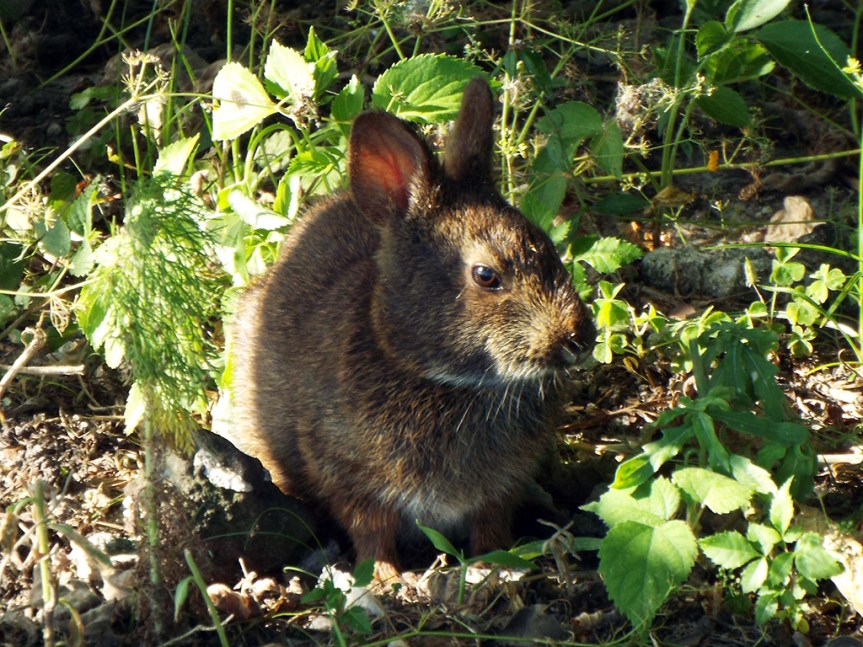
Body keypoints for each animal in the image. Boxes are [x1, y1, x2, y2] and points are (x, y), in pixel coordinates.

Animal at [228, 76, 594, 584]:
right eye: (486, 275)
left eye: (547, 246)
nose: (580, 340)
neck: (439, 378)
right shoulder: (350, 477)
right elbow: (371, 529)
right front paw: (387, 577)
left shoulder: (501, 487)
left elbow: (491, 521)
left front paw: (491, 562)